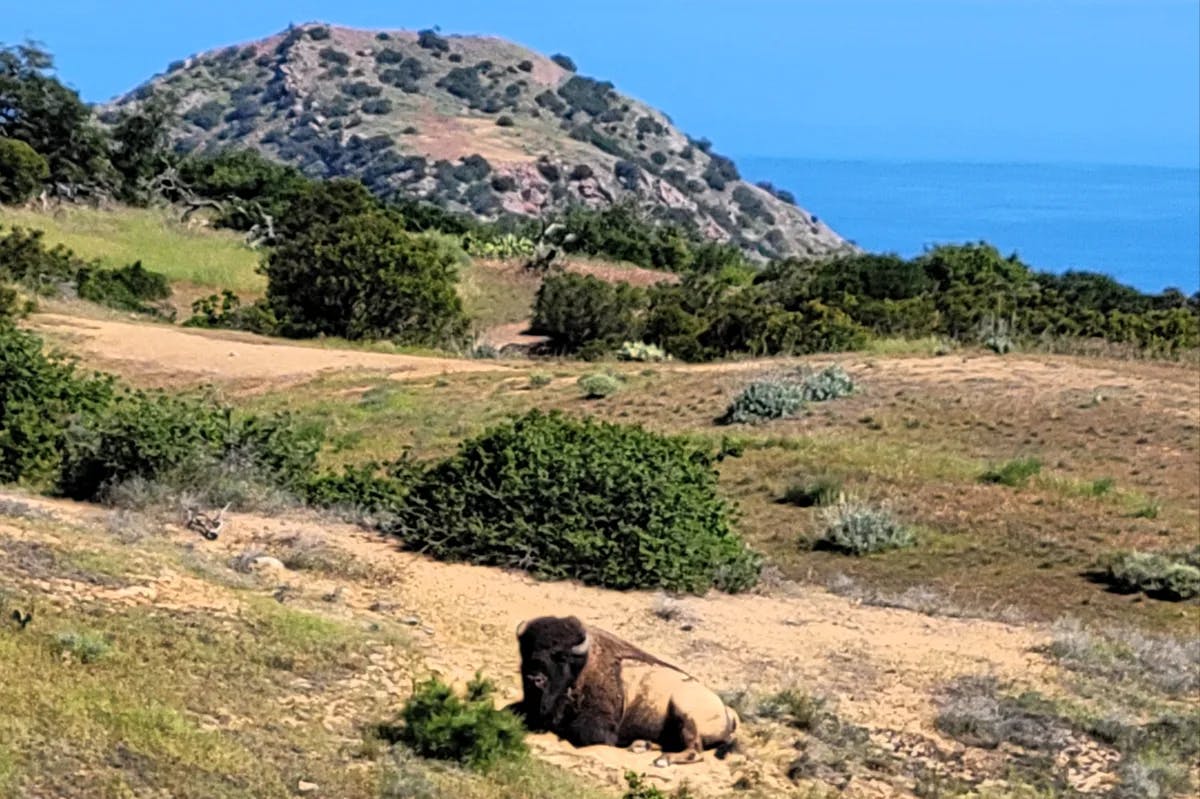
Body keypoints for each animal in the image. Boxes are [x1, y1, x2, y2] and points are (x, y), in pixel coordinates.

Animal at [511, 611, 734, 763]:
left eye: (561, 657)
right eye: (528, 650)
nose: (534, 678)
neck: (582, 666)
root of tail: (727, 710)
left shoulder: (599, 725)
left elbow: (581, 732)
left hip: (684, 707)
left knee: (695, 750)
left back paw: (662, 759)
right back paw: (641, 745)